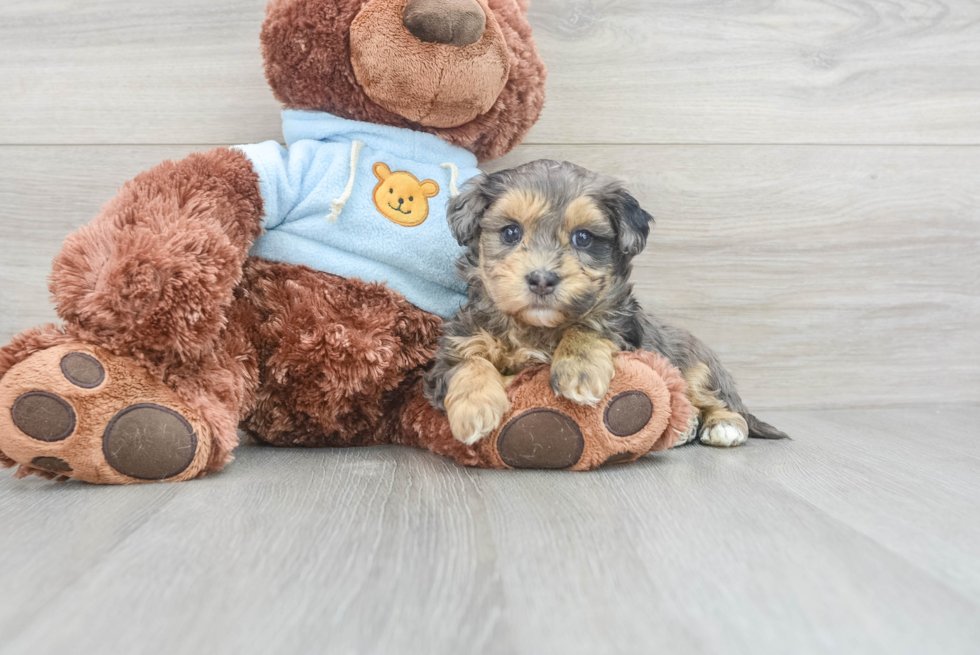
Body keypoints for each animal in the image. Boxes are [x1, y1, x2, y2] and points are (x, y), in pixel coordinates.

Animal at [424, 160, 788, 446]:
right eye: (511, 233)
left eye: (583, 238)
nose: (541, 279)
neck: (537, 329)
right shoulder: (458, 342)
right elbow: (468, 361)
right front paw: (474, 408)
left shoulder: (625, 328)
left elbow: (591, 324)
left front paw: (579, 370)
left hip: (697, 368)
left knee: (716, 402)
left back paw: (722, 426)